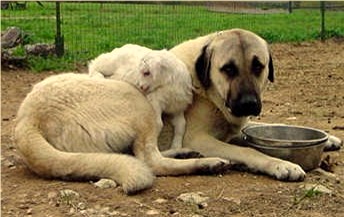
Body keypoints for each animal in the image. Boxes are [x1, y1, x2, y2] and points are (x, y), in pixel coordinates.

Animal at [167, 28, 342, 181]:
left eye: (258, 66)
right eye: (228, 69)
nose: (248, 103)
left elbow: (267, 125)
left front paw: (330, 139)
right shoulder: (196, 139)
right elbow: (248, 150)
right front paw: (281, 164)